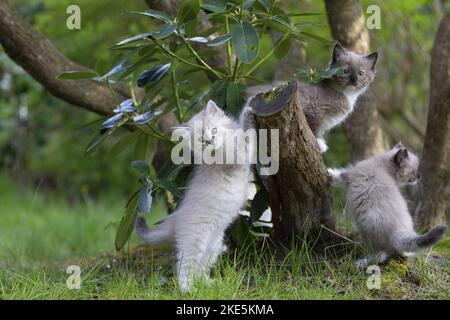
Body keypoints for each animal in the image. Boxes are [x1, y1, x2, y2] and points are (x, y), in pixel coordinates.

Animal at [134, 100, 256, 292]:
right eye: (201, 140)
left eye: (214, 130)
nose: (210, 141)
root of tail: (175, 218)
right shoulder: (241, 157)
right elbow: (249, 135)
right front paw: (248, 114)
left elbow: (242, 131)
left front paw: (247, 111)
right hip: (196, 241)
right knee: (183, 267)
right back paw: (188, 290)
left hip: (213, 246)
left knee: (200, 269)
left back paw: (208, 284)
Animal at [248, 43, 378, 153]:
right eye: (345, 72)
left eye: (361, 73)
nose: (353, 79)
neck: (346, 95)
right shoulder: (314, 110)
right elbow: (313, 128)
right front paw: (319, 143)